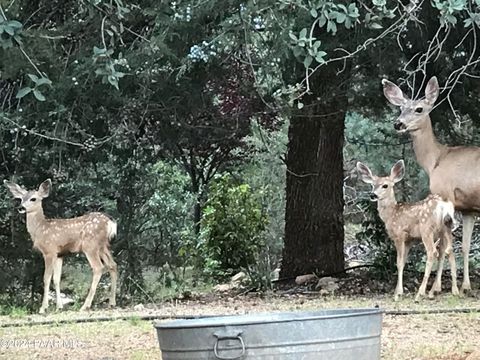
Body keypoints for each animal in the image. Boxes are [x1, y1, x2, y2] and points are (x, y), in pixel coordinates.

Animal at [3, 179, 117, 314]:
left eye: (33, 199)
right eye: (21, 199)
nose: (21, 208)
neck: (40, 229)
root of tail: (111, 222)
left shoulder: (49, 251)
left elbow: (46, 278)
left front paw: (43, 308)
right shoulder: (59, 255)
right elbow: (56, 279)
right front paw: (59, 306)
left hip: (90, 245)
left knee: (99, 268)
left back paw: (85, 306)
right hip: (103, 246)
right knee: (113, 265)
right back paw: (112, 302)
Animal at [356, 160, 458, 300]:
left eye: (385, 185)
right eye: (372, 185)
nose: (373, 195)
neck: (391, 214)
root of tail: (444, 206)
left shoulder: (399, 235)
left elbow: (398, 262)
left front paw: (398, 292)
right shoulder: (410, 239)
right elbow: (404, 261)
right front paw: (398, 290)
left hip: (427, 229)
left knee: (432, 252)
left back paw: (421, 293)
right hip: (446, 228)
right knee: (449, 251)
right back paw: (452, 291)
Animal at [382, 76, 480, 292]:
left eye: (419, 109)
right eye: (400, 108)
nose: (398, 124)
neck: (435, 161)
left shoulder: (445, 196)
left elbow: (443, 246)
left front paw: (436, 287)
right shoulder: (469, 208)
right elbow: (466, 245)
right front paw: (465, 286)